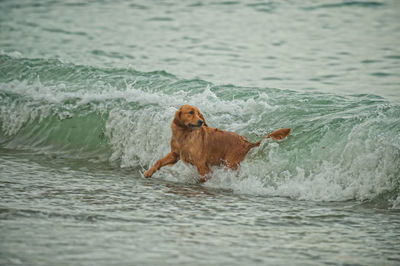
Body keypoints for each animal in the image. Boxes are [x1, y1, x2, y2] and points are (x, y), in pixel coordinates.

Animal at [144, 105, 290, 182]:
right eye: (191, 112)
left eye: (199, 114)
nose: (201, 122)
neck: (185, 135)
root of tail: (247, 142)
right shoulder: (175, 154)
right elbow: (159, 161)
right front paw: (149, 172)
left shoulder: (201, 163)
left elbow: (204, 176)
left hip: (230, 163)